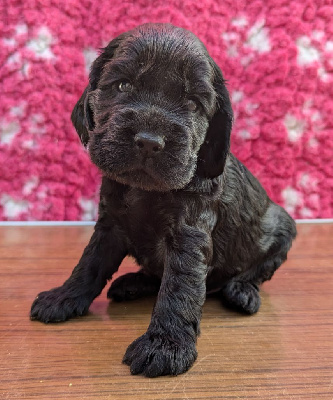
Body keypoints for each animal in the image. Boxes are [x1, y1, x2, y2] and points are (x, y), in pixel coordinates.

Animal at [31, 22, 296, 378]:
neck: (146, 190)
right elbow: (90, 262)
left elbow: (179, 287)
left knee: (256, 271)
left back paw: (242, 292)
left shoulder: (190, 233)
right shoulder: (110, 225)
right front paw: (64, 297)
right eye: (123, 85)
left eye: (193, 103)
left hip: (283, 228)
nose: (148, 141)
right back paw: (133, 283)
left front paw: (165, 345)